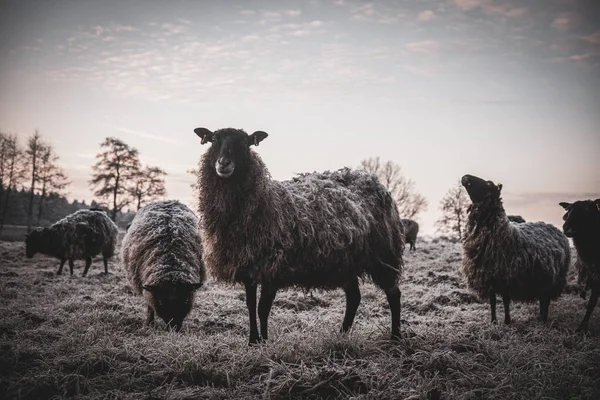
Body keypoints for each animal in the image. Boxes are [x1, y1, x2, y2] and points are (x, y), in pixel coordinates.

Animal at [119, 200, 206, 332]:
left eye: (185, 300)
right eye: (160, 302)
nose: (174, 328)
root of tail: (167, 201)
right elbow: (150, 306)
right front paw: (149, 323)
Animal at [195, 127, 406, 344]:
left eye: (245, 143)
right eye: (214, 139)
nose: (223, 163)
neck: (264, 202)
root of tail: (376, 182)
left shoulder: (273, 267)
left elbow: (263, 309)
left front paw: (265, 341)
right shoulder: (248, 268)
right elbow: (250, 306)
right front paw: (253, 341)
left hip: (383, 254)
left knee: (393, 294)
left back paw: (395, 336)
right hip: (347, 262)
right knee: (354, 297)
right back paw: (342, 334)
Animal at [462, 175, 568, 324]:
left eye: (488, 184)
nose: (465, 177)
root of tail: (552, 226)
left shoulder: (507, 277)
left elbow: (506, 301)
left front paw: (507, 321)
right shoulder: (489, 278)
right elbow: (493, 302)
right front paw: (493, 321)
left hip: (552, 280)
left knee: (545, 301)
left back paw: (543, 319)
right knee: (543, 300)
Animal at [556, 200, 600, 332]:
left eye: (587, 211)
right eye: (568, 210)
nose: (568, 228)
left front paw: (583, 327)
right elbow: (592, 302)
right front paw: (582, 327)